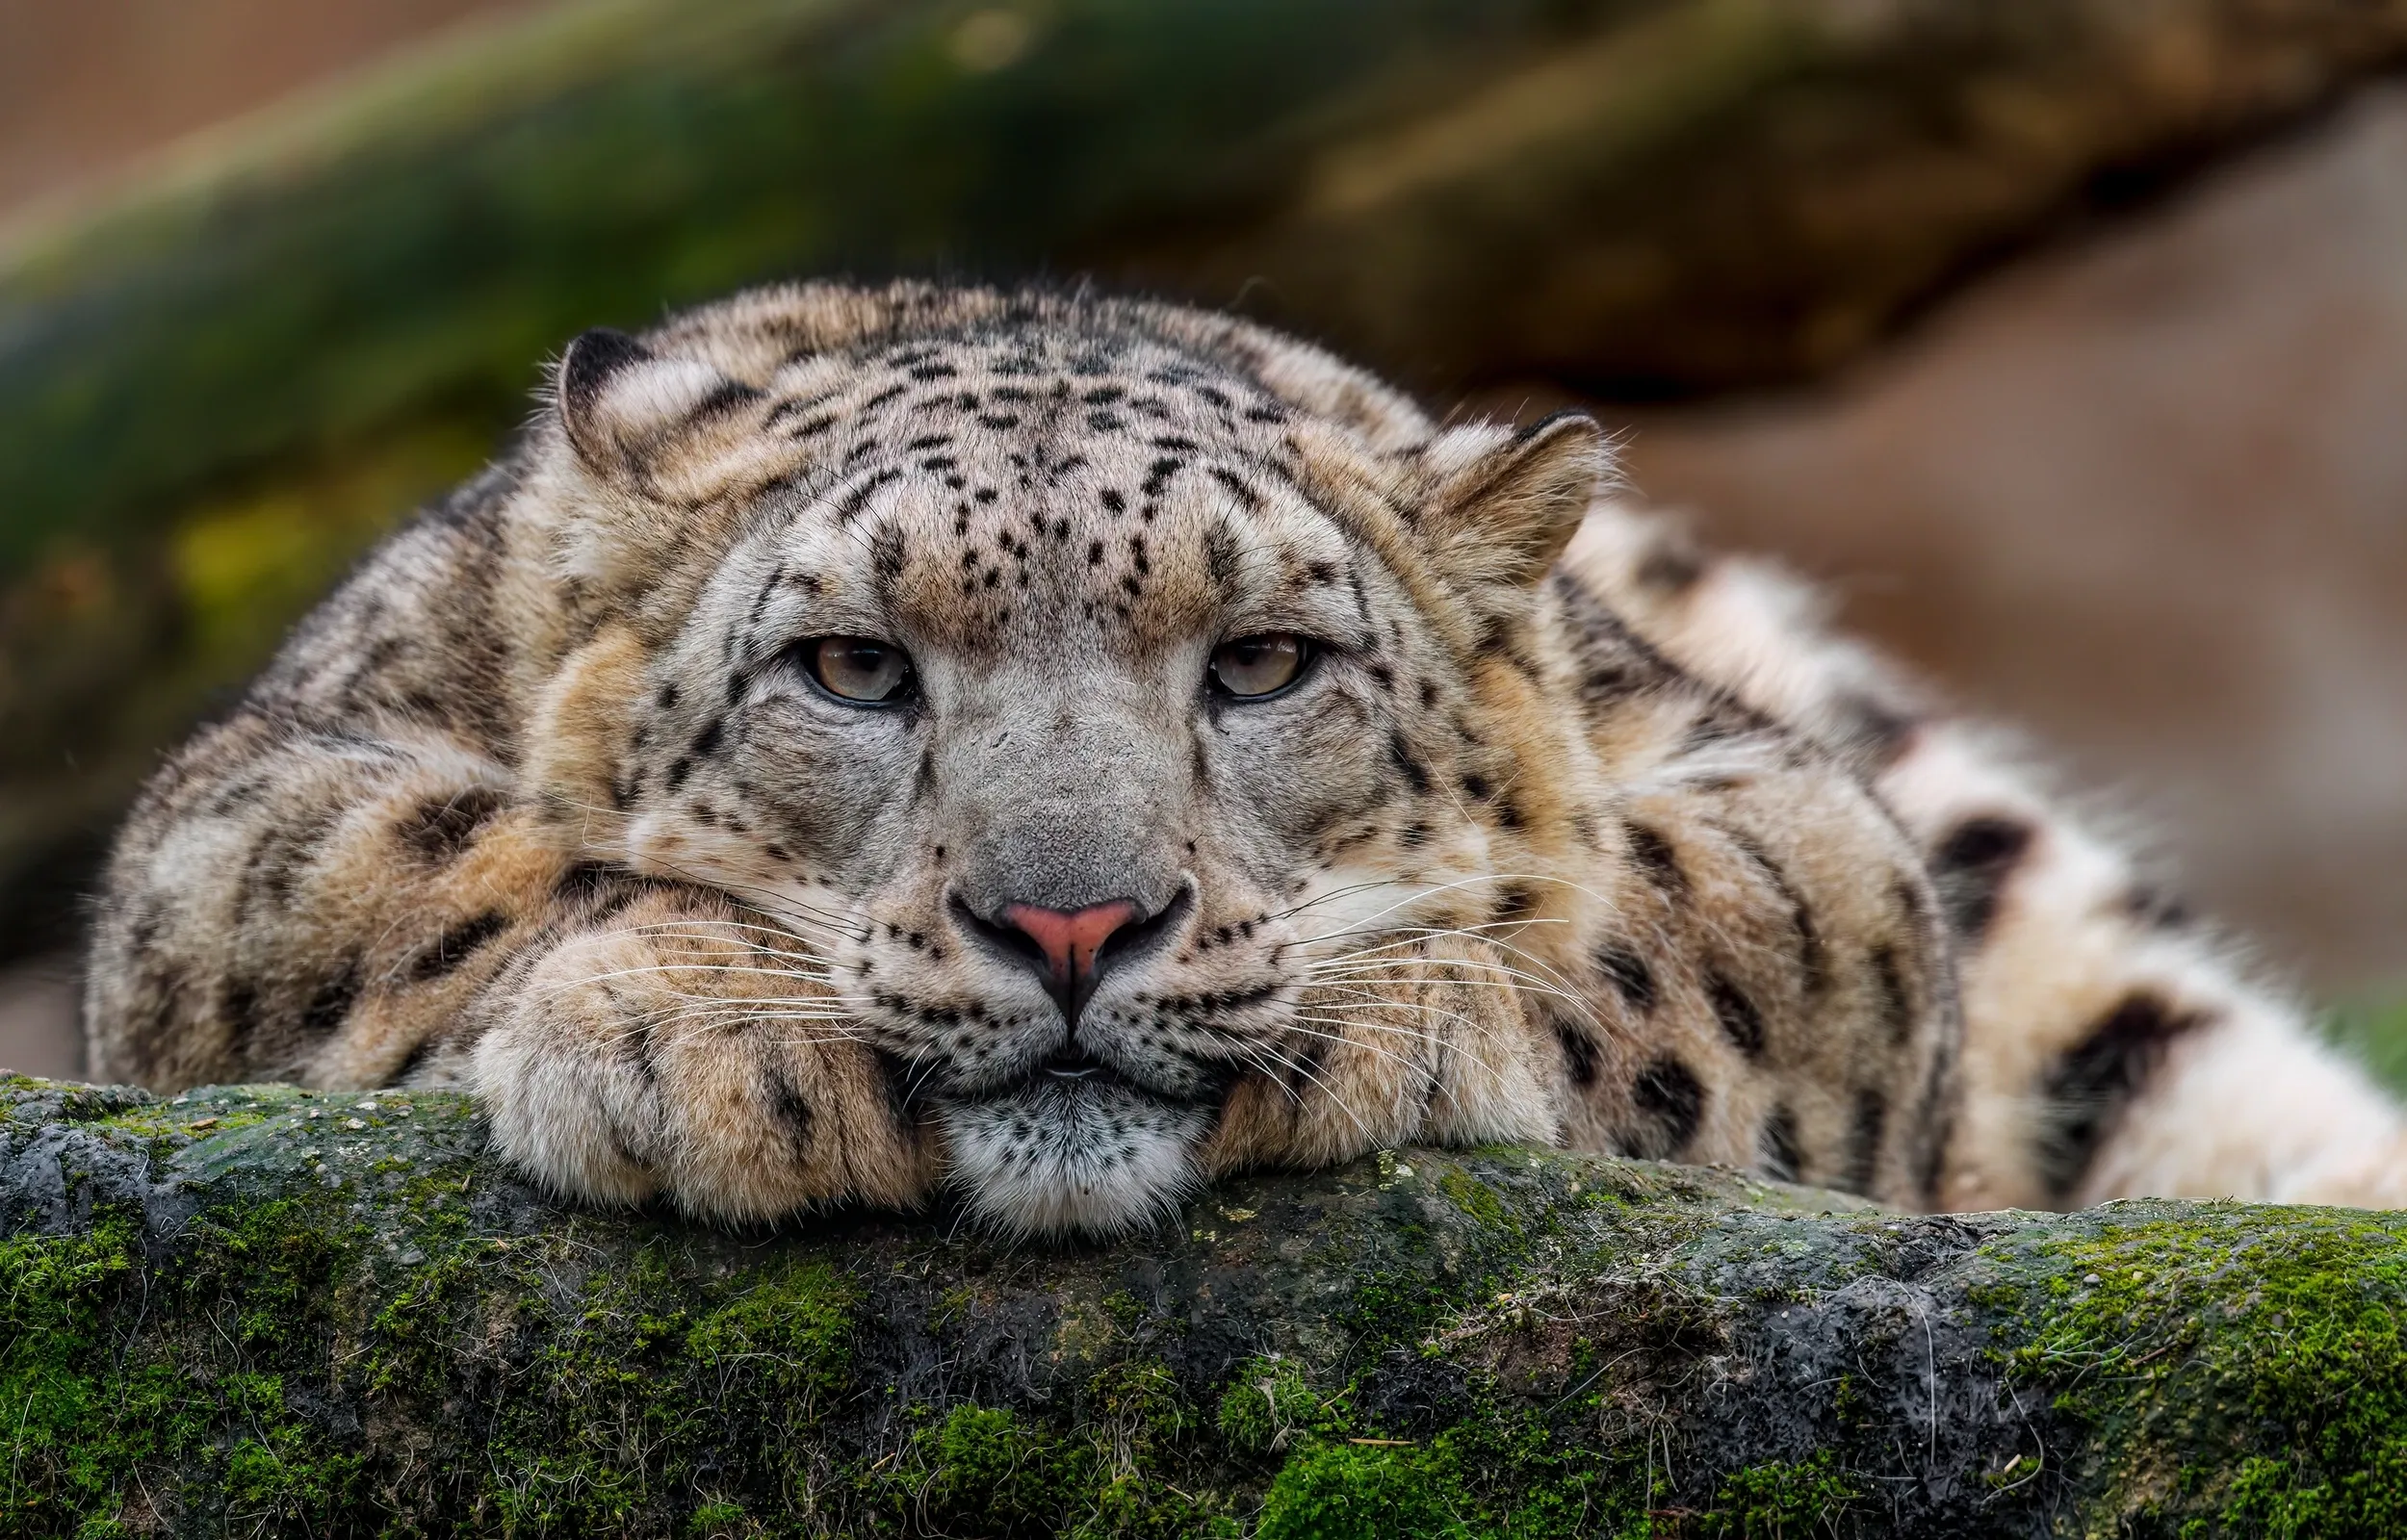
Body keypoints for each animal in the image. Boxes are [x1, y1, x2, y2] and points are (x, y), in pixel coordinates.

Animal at [84, 280, 2407, 1237]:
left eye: (1265, 662)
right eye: (849, 667)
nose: (1072, 922)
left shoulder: (1800, 821)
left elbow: (1669, 928)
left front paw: (1405, 1015)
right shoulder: (236, 819)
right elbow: (432, 866)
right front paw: (709, 1042)